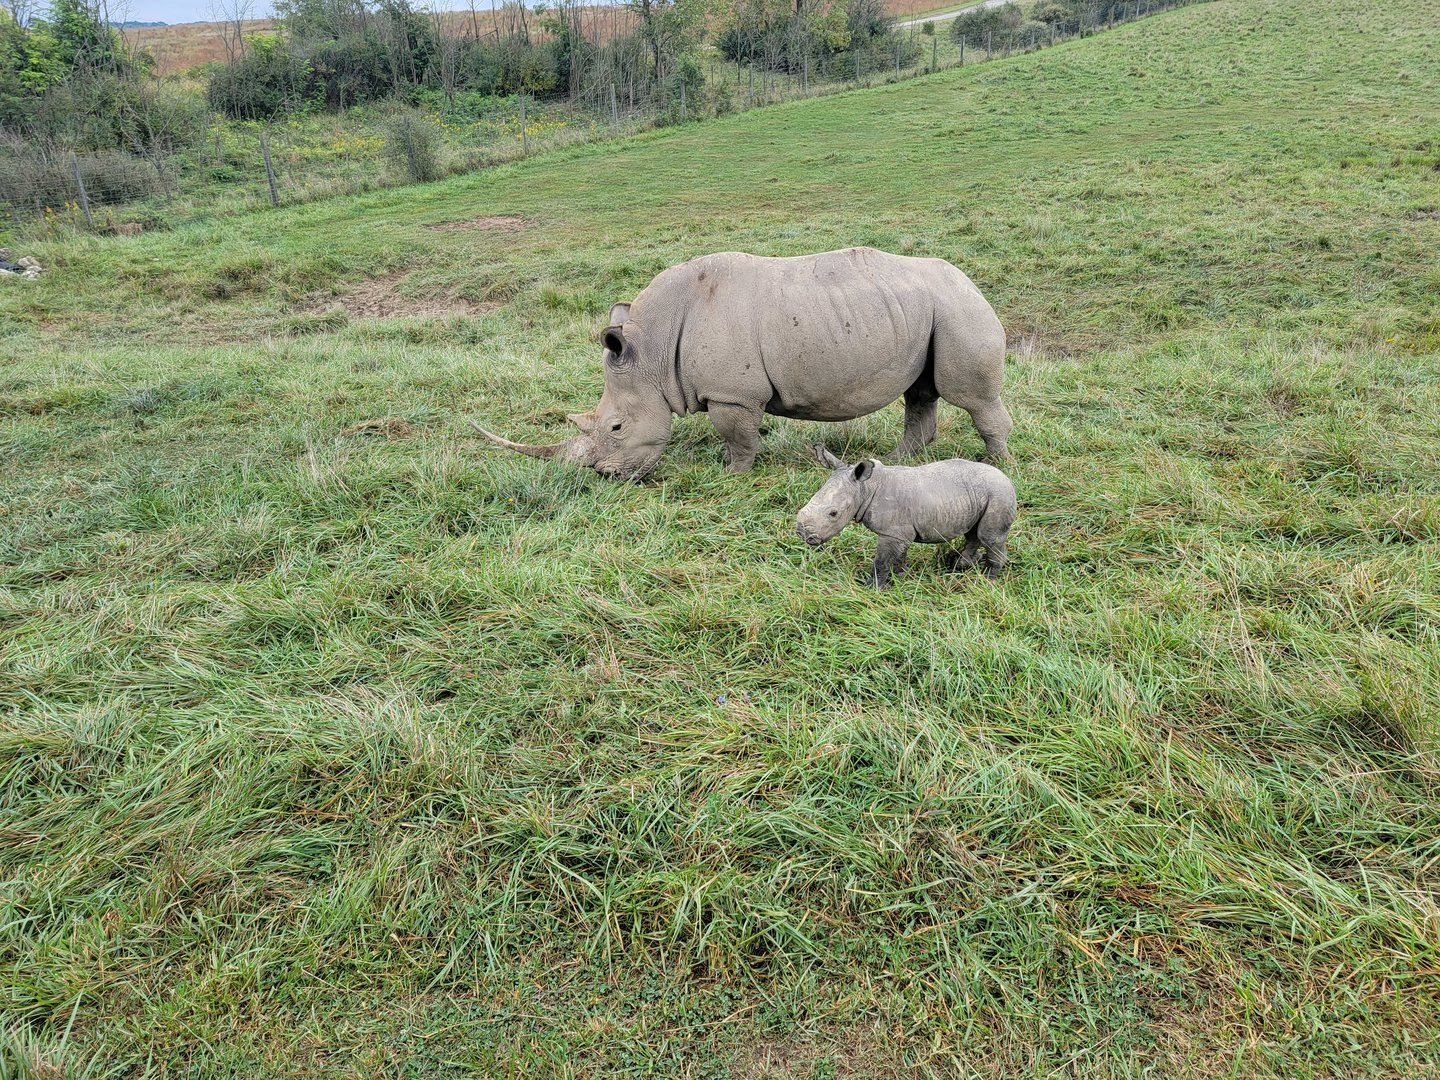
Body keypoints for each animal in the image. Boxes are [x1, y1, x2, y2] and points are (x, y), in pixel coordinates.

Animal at [474, 247, 1011, 480]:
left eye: (618, 428)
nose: (606, 477)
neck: (651, 351)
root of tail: (971, 281)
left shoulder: (731, 394)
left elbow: (738, 437)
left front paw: (732, 476)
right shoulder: (730, 391)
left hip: (958, 307)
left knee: (969, 395)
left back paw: (998, 463)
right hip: (925, 309)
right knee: (919, 391)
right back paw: (899, 461)